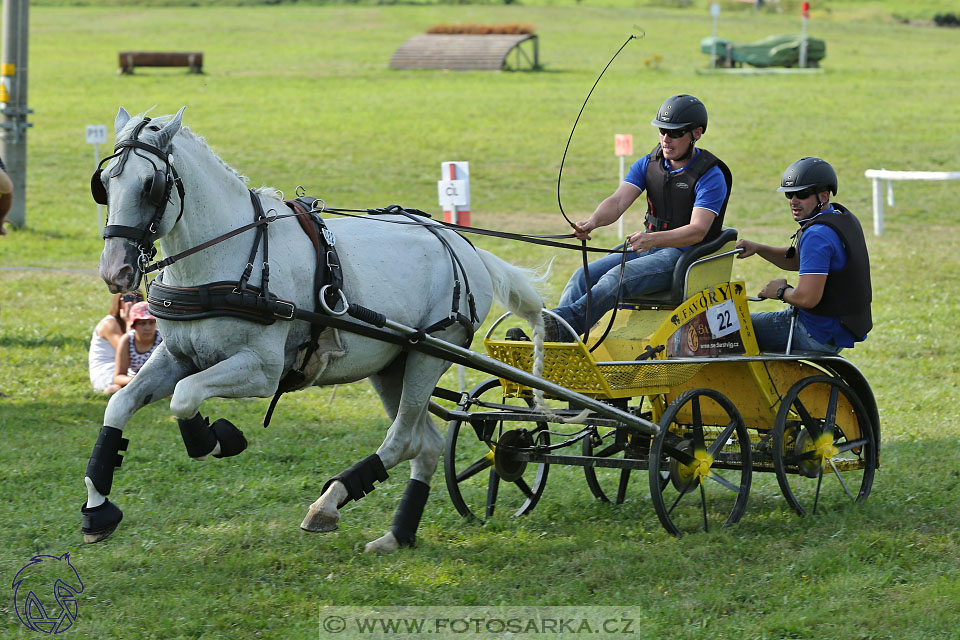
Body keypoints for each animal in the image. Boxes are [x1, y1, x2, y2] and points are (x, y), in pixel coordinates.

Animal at [86, 107, 544, 552]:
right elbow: (120, 405)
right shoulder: (177, 356)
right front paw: (97, 510)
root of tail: (463, 244)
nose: (114, 271)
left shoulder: (262, 370)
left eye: (150, 185)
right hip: (392, 366)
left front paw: (215, 439)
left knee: (402, 440)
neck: (229, 257)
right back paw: (397, 534)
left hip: (428, 355)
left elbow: (184, 398)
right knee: (425, 444)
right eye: (104, 183)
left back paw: (328, 503)